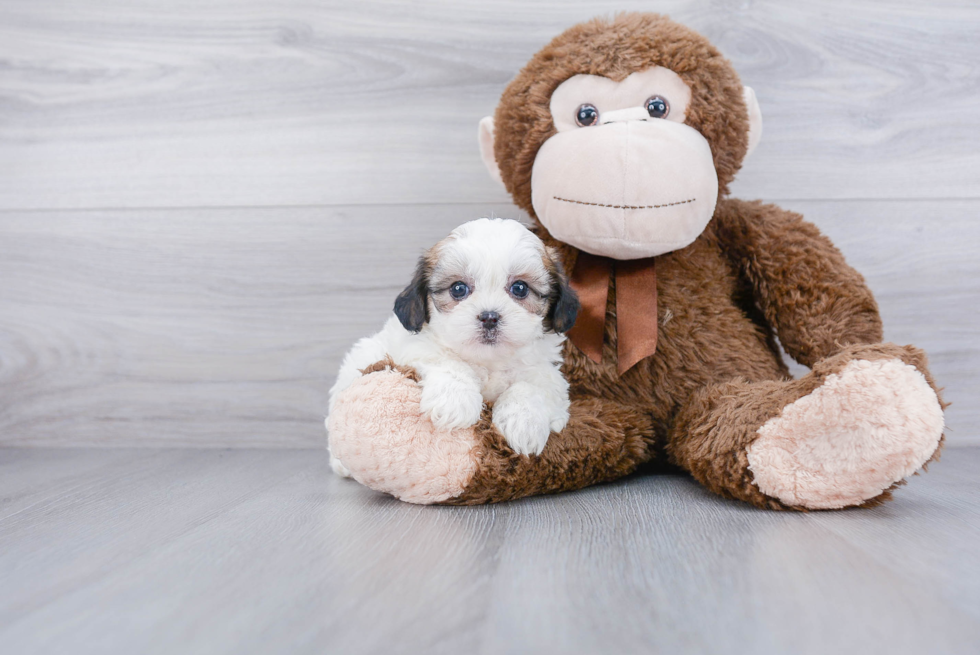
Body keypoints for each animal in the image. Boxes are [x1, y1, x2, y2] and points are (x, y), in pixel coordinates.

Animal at [326, 218, 580, 474]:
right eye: (458, 289)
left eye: (520, 288)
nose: (489, 317)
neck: (488, 360)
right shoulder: (418, 347)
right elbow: (449, 362)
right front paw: (454, 401)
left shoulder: (547, 374)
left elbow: (530, 387)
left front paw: (523, 423)